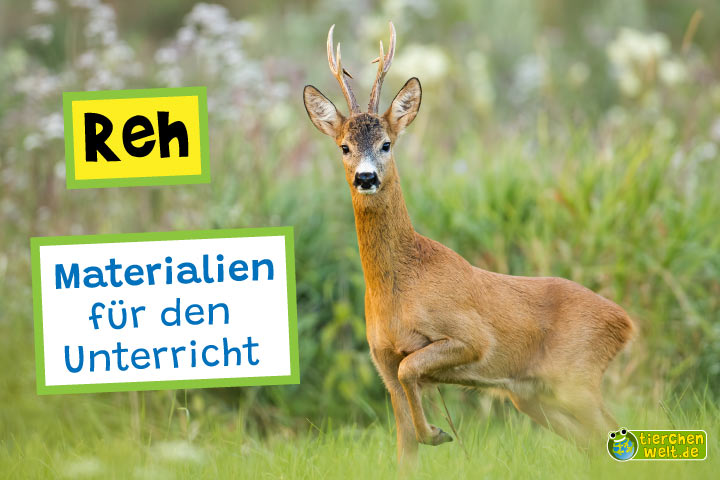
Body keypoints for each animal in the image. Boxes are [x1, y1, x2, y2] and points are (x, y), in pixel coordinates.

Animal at [303, 22, 635, 463]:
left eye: (387, 143)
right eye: (344, 146)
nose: (366, 177)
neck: (399, 288)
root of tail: (626, 322)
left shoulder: (471, 337)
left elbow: (413, 370)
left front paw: (437, 432)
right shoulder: (383, 363)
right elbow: (404, 449)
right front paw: (429, 434)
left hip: (576, 377)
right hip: (534, 395)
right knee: (597, 443)